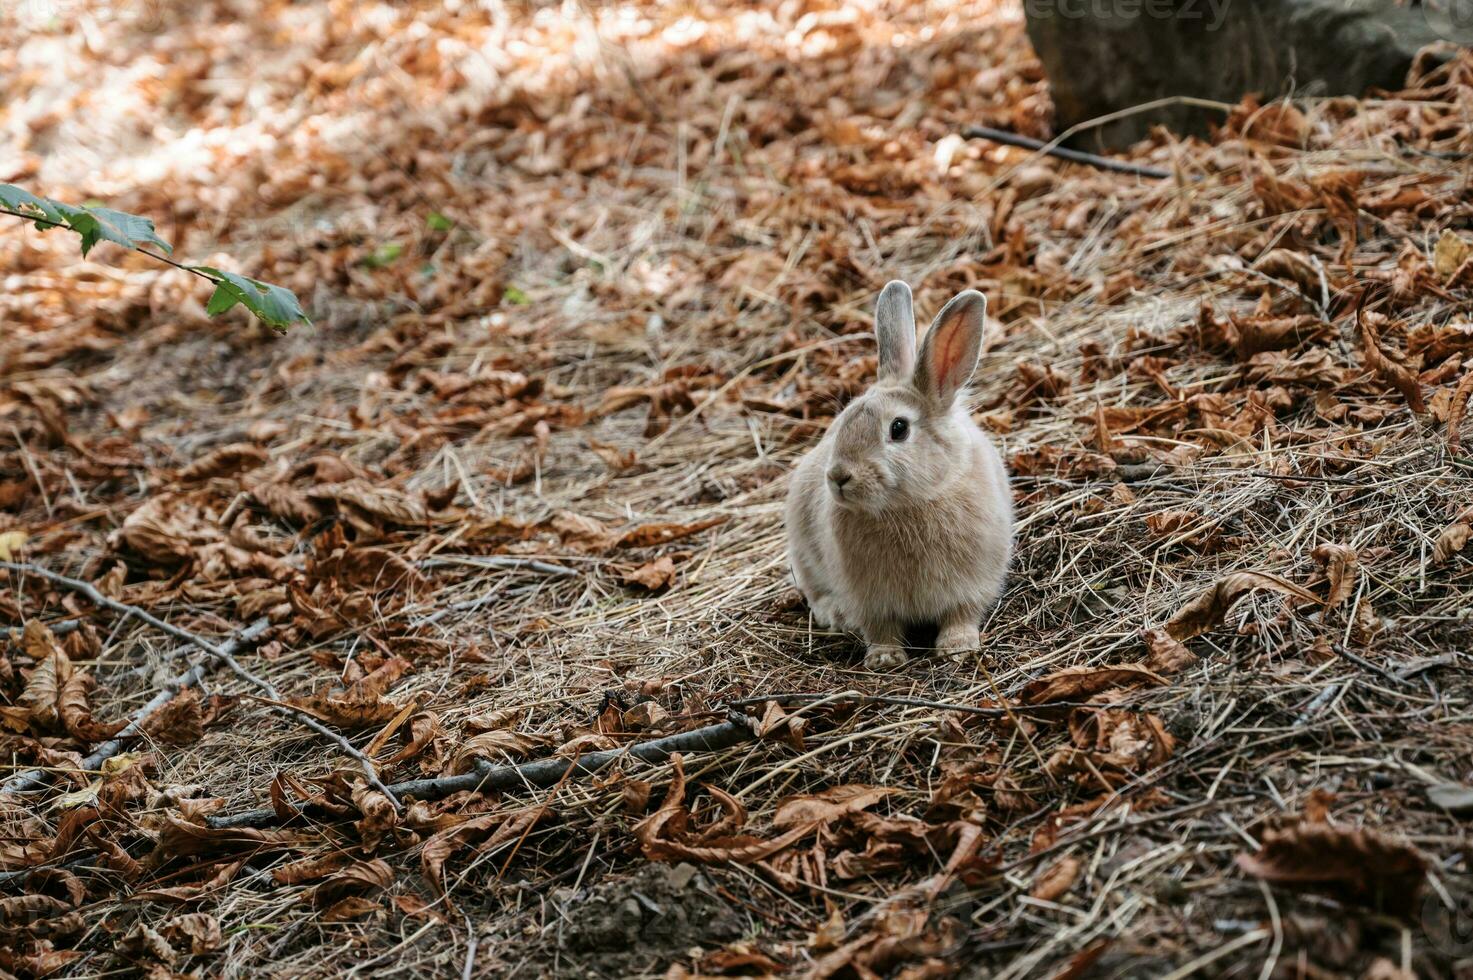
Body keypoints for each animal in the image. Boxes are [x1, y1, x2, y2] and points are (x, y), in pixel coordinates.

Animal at [783, 278, 1013, 669]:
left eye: (899, 428)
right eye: (842, 423)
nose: (838, 477)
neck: (912, 504)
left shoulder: (974, 582)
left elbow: (962, 613)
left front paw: (957, 647)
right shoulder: (869, 598)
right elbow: (881, 626)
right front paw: (885, 658)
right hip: (802, 548)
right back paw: (834, 615)